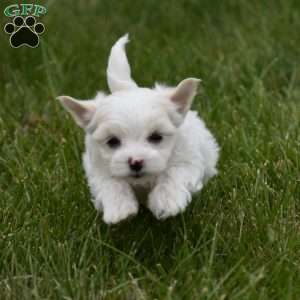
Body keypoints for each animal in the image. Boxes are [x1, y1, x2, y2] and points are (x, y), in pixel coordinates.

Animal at [58, 34, 218, 224]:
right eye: (112, 141)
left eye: (156, 137)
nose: (135, 162)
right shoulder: (99, 168)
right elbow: (112, 183)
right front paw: (120, 210)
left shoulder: (186, 159)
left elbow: (172, 174)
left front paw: (166, 202)